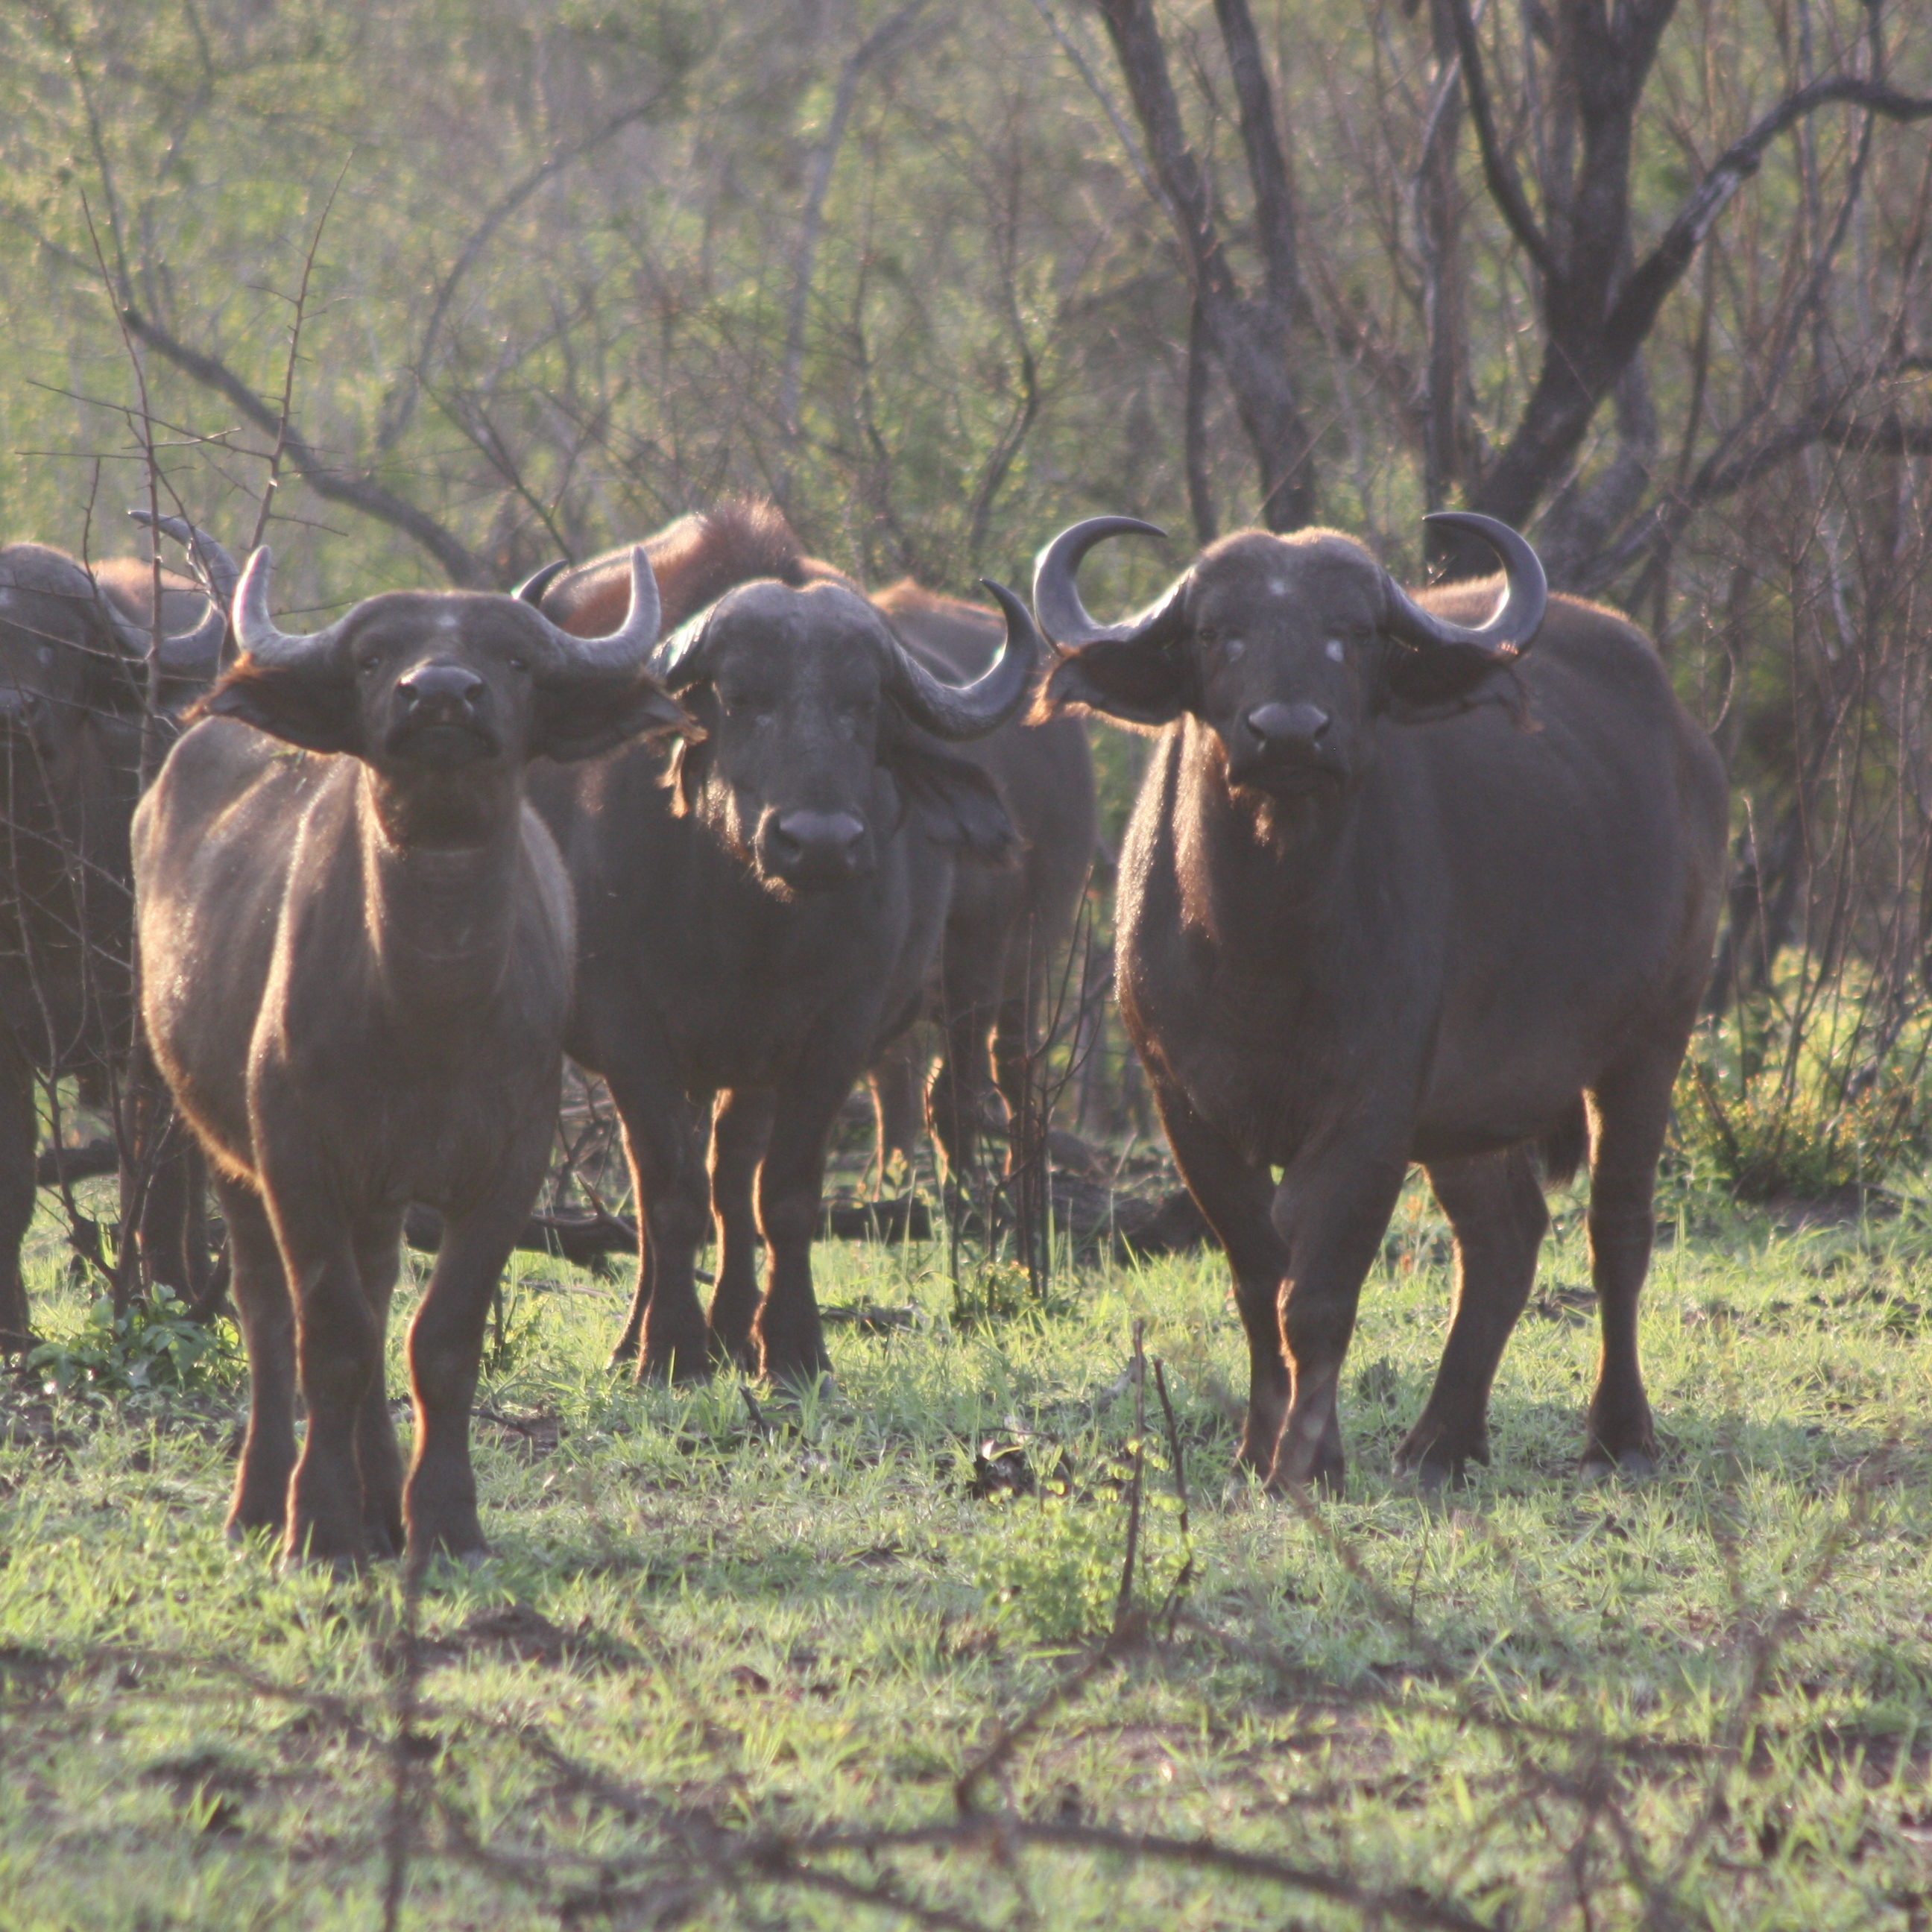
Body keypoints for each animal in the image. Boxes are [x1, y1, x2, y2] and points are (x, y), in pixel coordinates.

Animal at [0, 537, 224, 1336]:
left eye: (58, 639)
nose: (13, 712)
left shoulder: (145, 1040)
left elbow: (151, 1185)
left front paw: (162, 1306)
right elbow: (13, 1187)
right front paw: (14, 1335)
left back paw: (198, 1292)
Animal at [136, 549, 684, 1568]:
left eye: (514, 659)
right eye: (372, 657)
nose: (439, 696)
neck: (429, 1010)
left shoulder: (509, 1166)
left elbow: (441, 1340)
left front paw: (444, 1523)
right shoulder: (296, 1156)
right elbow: (331, 1339)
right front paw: (318, 1528)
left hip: (379, 1193)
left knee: (382, 1291)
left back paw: (383, 1505)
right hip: (223, 1148)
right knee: (268, 1314)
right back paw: (262, 1503)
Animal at [525, 498, 1043, 1375]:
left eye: (862, 704)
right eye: (740, 697)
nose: (821, 842)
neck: (747, 927)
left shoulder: (837, 1029)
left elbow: (786, 1194)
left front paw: (795, 1347)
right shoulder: (631, 1030)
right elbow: (667, 1193)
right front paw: (669, 1349)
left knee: (733, 1173)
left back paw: (735, 1328)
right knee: (671, 1181)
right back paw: (643, 1337)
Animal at [1035, 506, 1731, 1483]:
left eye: (1357, 634)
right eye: (1214, 633)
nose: (1289, 734)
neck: (1263, 946)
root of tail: (1687, 746)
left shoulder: (1372, 1110)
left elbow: (1318, 1293)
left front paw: (1306, 1461)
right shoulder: (1185, 1107)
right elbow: (1258, 1280)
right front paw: (1261, 1447)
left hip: (1653, 1040)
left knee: (1617, 1230)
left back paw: (1619, 1433)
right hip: (1471, 1107)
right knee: (1504, 1238)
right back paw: (1442, 1440)